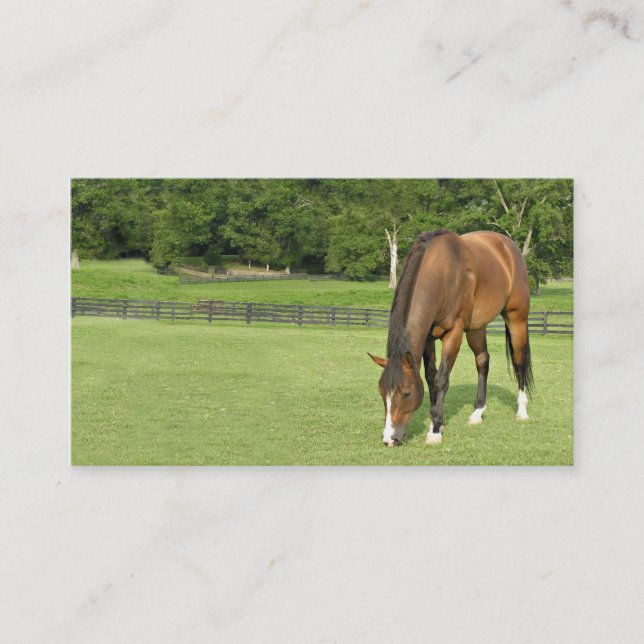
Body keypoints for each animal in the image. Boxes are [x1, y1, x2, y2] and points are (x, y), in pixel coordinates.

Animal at [369, 229, 533, 446]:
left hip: (517, 318)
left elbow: (441, 379)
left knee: (519, 361)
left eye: (406, 393)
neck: (443, 273)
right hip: (476, 327)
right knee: (483, 361)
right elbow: (431, 378)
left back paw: (522, 411)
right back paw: (477, 413)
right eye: (381, 392)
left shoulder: (454, 333)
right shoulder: (428, 338)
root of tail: (510, 247)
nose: (389, 439)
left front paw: (435, 430)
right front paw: (436, 421)